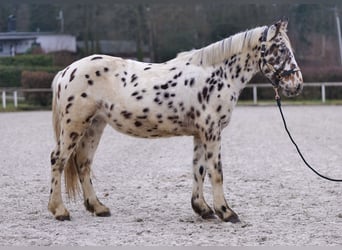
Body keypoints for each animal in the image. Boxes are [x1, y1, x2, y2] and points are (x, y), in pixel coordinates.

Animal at [47, 20, 302, 223]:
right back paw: (59, 210)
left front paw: (203, 209)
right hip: (75, 125)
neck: (216, 74)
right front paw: (226, 212)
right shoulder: (211, 131)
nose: (297, 84)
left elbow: (199, 170)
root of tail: (65, 71)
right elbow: (216, 172)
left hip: (95, 126)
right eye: (280, 48)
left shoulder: (200, 133)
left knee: (83, 163)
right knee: (58, 160)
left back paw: (98, 207)